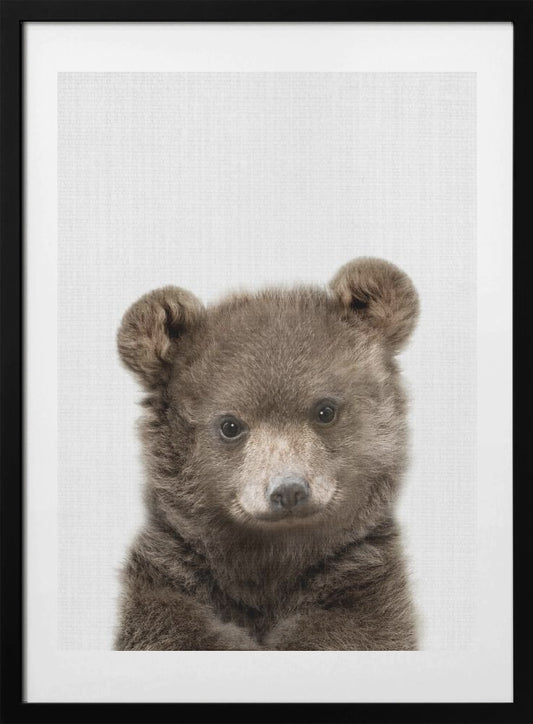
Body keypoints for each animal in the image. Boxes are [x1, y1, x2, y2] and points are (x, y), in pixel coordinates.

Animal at [114, 257, 419, 651]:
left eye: (325, 410)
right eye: (230, 425)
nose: (288, 490)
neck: (270, 562)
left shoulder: (363, 586)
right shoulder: (170, 581)